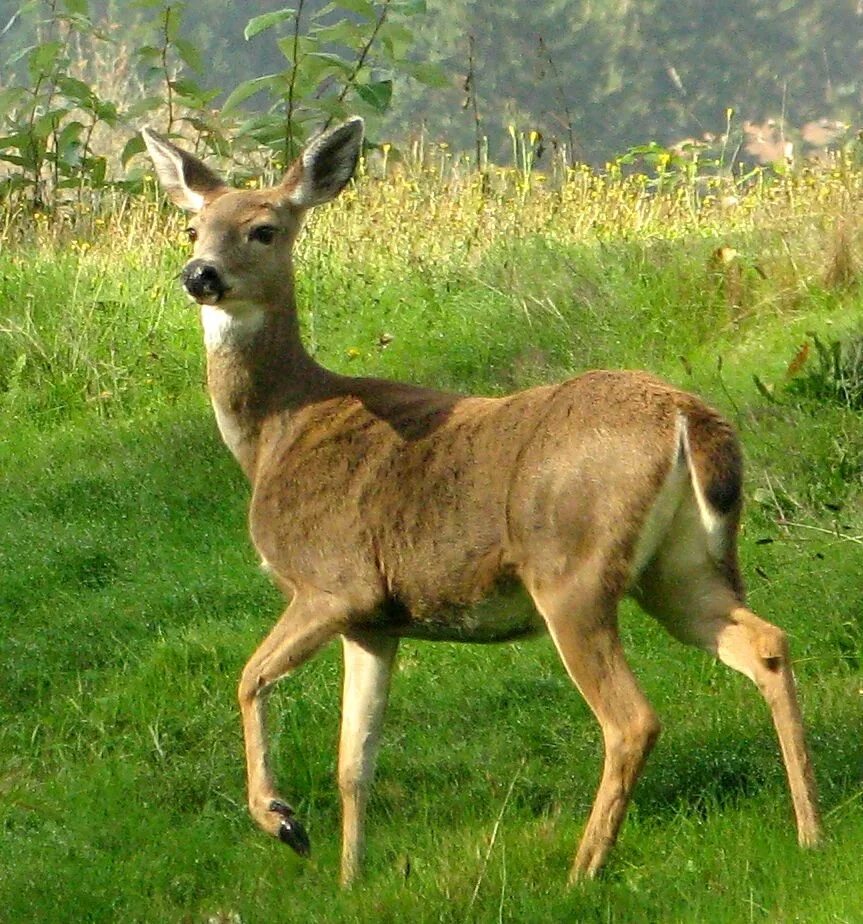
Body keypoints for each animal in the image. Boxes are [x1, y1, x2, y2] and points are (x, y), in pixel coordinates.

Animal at [143, 117, 824, 888]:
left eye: (262, 229)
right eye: (193, 226)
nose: (200, 275)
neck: (278, 431)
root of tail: (685, 414)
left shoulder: (334, 582)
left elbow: (248, 678)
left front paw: (283, 821)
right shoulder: (374, 622)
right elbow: (354, 763)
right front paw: (349, 879)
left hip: (571, 568)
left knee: (632, 719)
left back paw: (581, 870)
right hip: (679, 568)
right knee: (765, 643)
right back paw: (809, 833)